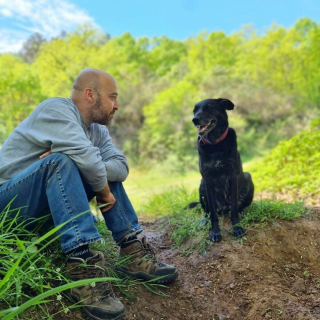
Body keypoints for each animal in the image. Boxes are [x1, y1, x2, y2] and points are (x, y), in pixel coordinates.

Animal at [191, 98, 254, 242]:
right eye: (194, 111)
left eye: (208, 107)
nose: (194, 119)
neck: (215, 144)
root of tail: (224, 208)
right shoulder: (207, 179)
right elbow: (213, 214)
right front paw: (215, 232)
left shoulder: (233, 176)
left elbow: (234, 210)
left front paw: (237, 228)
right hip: (202, 186)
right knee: (207, 211)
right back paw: (204, 221)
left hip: (247, 177)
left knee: (238, 206)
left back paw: (242, 211)